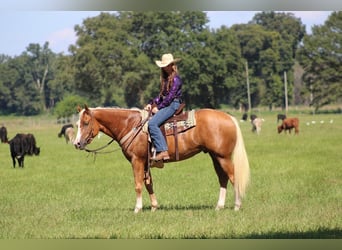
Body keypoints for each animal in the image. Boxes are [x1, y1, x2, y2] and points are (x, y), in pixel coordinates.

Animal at [73, 105, 250, 213]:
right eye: (77, 123)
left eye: (86, 122)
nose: (77, 143)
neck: (130, 125)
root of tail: (229, 117)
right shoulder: (145, 162)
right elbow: (148, 184)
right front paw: (154, 207)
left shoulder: (137, 160)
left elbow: (138, 185)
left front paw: (137, 208)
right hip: (215, 156)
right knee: (223, 178)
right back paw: (219, 206)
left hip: (223, 157)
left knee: (233, 177)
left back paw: (237, 206)